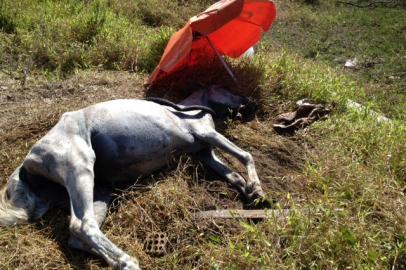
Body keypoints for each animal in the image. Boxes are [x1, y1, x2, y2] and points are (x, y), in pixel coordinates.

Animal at [0, 87, 268, 270]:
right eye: (230, 91)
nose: (254, 104)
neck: (190, 108)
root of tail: (27, 164)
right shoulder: (206, 133)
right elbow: (246, 155)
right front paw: (258, 188)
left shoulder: (205, 152)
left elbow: (233, 174)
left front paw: (250, 191)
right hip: (79, 166)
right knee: (83, 225)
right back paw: (128, 261)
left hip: (100, 192)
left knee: (78, 235)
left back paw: (118, 261)